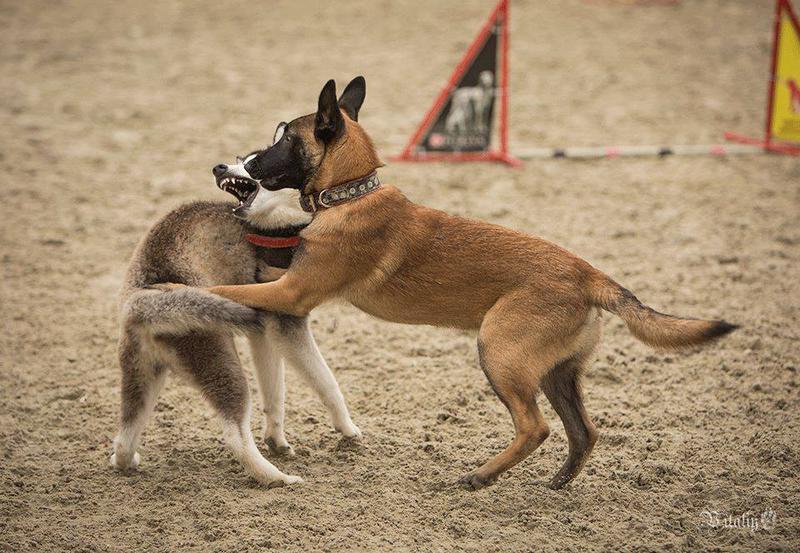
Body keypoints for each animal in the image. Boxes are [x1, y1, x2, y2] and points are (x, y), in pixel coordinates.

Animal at [110, 153, 360, 486]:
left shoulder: (264, 332)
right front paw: (347, 428)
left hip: (144, 376)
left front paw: (277, 439)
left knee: (125, 436)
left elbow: (275, 391)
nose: (219, 168)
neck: (275, 232)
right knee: (235, 435)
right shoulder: (288, 324)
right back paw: (277, 478)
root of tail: (141, 297)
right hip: (222, 364)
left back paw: (126, 461)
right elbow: (326, 382)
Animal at [183, 76, 736, 488]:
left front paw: (175, 292)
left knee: (536, 427)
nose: (222, 164)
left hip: (499, 353)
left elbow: (224, 291)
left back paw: (481, 476)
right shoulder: (285, 289)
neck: (351, 193)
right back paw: (557, 482)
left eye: (280, 138)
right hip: (556, 373)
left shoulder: (291, 294)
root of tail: (588, 274)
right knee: (584, 431)